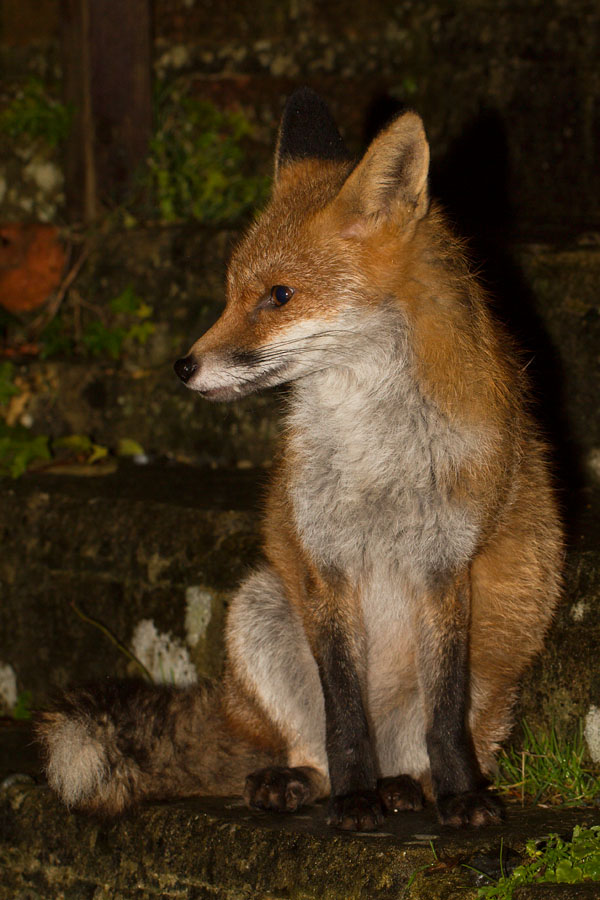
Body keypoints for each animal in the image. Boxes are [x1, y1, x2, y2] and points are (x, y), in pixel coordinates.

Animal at [37, 88, 563, 831]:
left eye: (279, 296)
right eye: (231, 291)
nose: (183, 367)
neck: (373, 456)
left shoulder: (444, 566)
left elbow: (443, 718)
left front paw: (462, 797)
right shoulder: (324, 562)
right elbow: (343, 718)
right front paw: (353, 802)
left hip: (495, 666)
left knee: (425, 742)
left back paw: (410, 788)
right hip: (258, 605)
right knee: (308, 744)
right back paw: (308, 783)